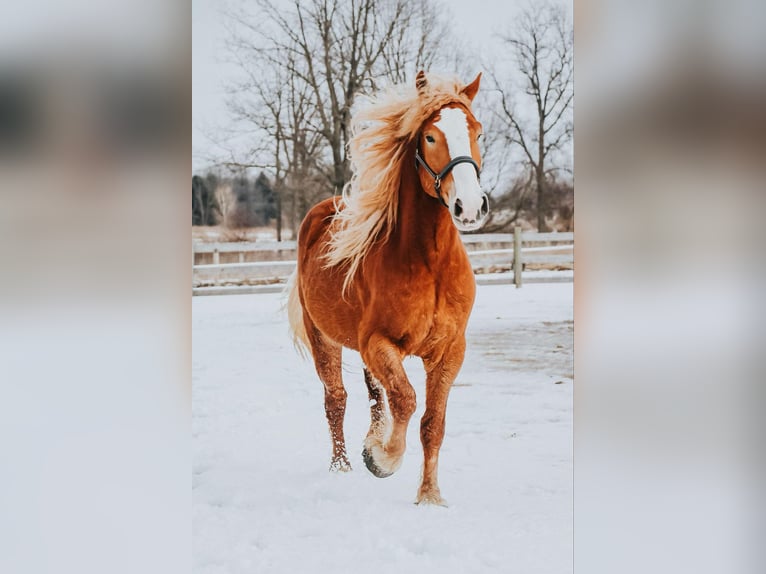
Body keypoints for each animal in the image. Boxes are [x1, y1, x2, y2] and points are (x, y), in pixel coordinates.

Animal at [288, 72, 492, 508]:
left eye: (477, 131)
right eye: (430, 136)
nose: (470, 207)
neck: (429, 264)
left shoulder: (449, 351)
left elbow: (432, 422)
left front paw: (429, 495)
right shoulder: (379, 343)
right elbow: (406, 399)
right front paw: (382, 458)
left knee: (374, 396)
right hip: (325, 339)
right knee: (337, 399)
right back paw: (343, 466)